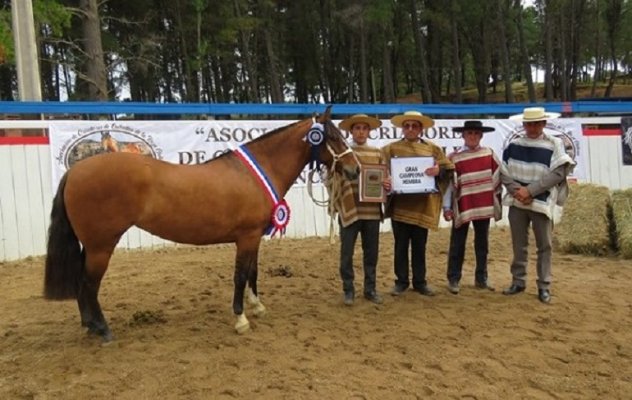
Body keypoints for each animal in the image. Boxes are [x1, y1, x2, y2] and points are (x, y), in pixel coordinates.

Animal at [43, 108, 358, 340]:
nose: (354, 169)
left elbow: (253, 273)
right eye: (332, 137)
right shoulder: (246, 237)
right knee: (89, 283)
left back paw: (90, 326)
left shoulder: (254, 237)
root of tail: (75, 171)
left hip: (92, 245)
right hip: (101, 246)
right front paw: (241, 319)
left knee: (83, 282)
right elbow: (240, 276)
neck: (254, 174)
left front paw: (257, 307)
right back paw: (103, 329)